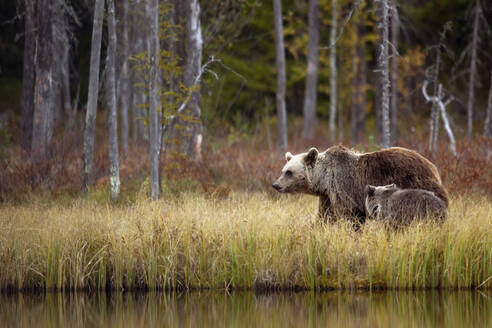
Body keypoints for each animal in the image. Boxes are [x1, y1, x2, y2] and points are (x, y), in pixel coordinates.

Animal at [272, 146, 450, 226]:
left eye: (289, 172)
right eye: (283, 170)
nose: (275, 184)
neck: (324, 179)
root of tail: (433, 166)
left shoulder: (344, 189)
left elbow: (352, 217)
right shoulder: (328, 196)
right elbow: (325, 217)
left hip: (418, 185)